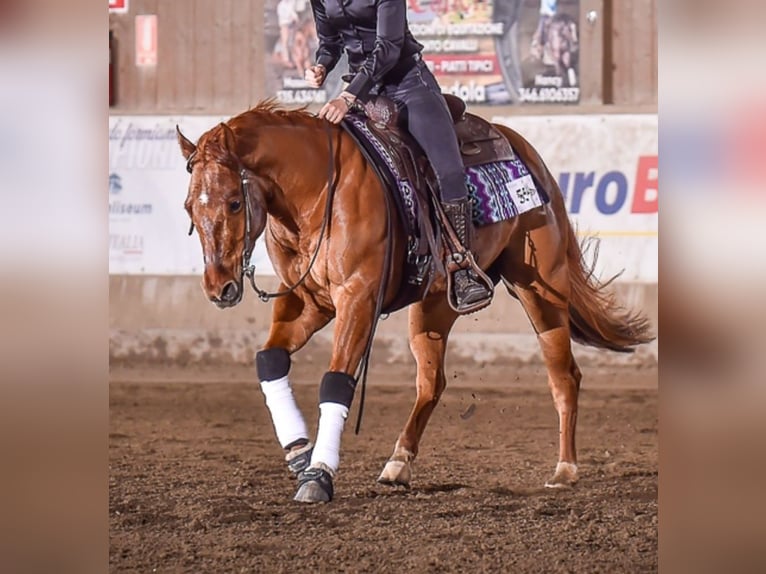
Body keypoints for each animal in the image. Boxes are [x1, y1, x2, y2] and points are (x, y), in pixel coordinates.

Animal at [177, 101, 653, 503]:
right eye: (188, 208)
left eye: (234, 202)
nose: (218, 287)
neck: (319, 189)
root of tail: (525, 151)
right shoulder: (308, 301)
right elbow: (270, 360)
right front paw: (299, 452)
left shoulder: (358, 299)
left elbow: (336, 381)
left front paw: (319, 475)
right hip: (436, 304)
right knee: (431, 383)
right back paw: (397, 463)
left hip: (541, 287)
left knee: (563, 375)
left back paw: (565, 469)